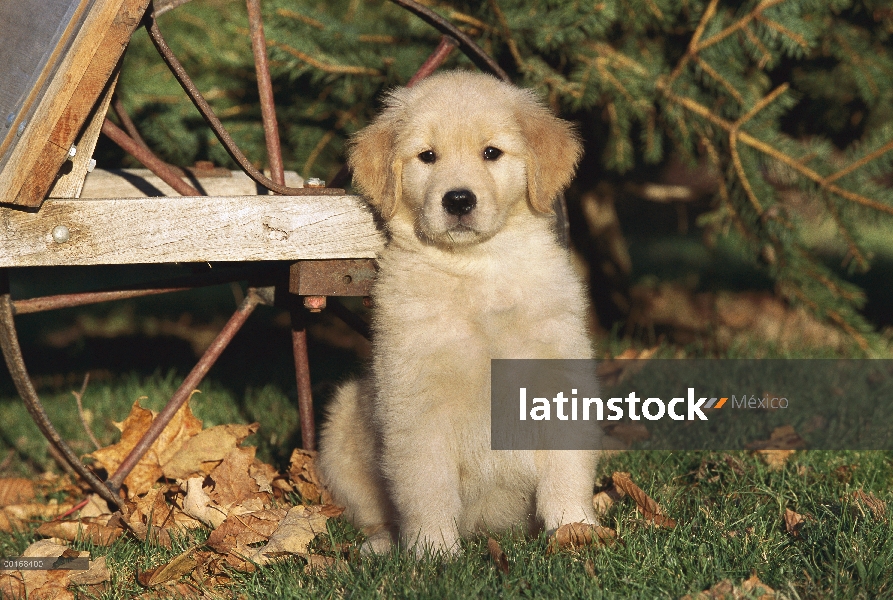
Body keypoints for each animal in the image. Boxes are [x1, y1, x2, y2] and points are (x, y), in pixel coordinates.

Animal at [314, 71, 600, 556]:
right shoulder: (416, 402)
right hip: (340, 425)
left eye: (492, 153)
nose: (459, 200)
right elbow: (427, 486)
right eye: (427, 156)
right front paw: (433, 551)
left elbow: (566, 470)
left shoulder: (557, 380)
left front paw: (574, 527)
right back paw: (382, 545)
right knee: (372, 514)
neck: (477, 271)